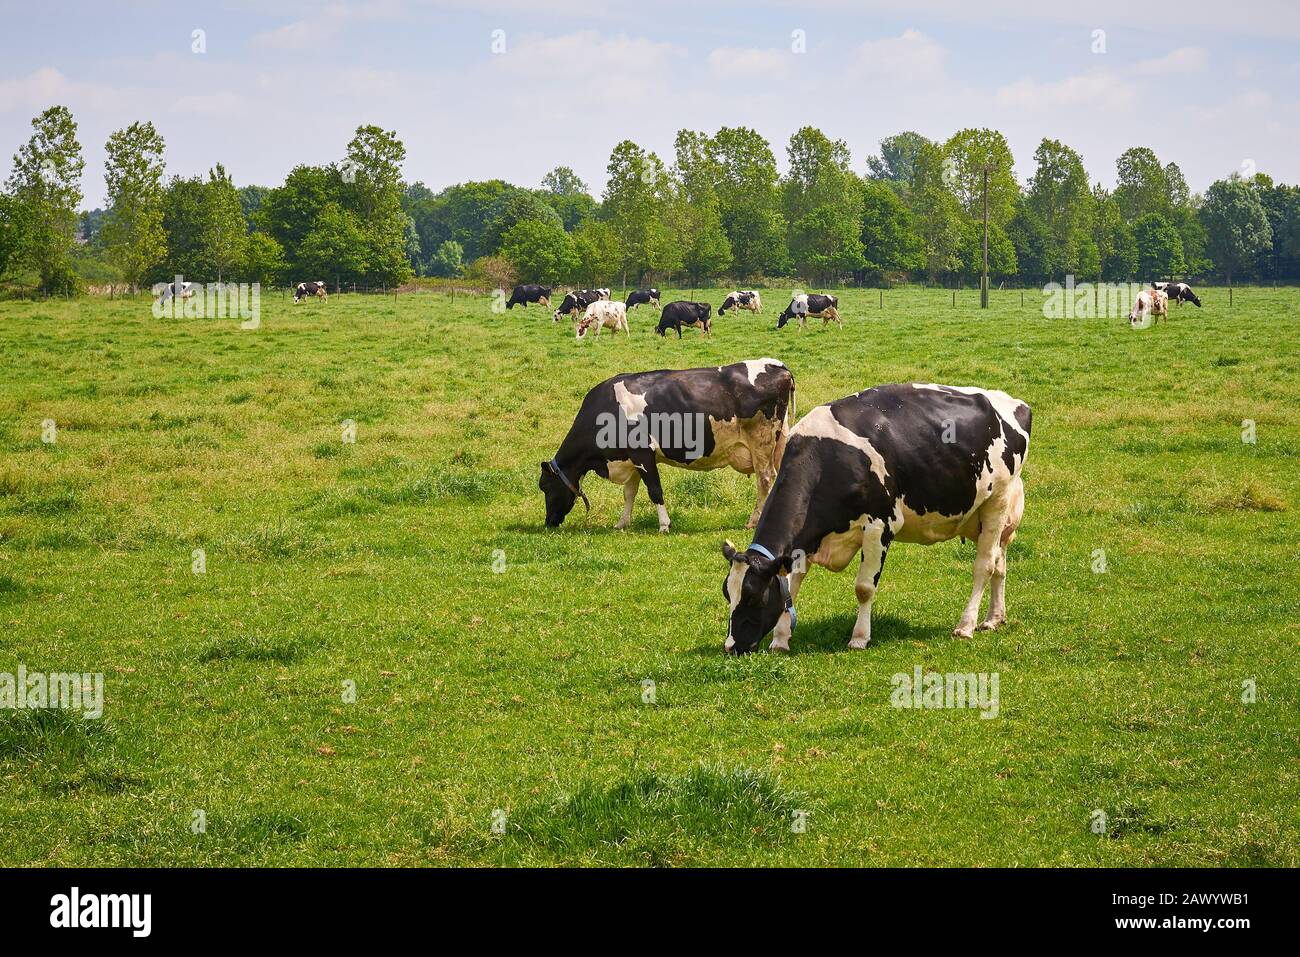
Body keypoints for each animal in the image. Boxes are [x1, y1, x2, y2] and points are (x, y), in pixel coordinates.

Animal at [540, 359, 796, 533]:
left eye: (545, 487)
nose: (549, 522)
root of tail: (777, 365)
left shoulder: (643, 453)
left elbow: (655, 490)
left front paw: (664, 524)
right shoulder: (631, 458)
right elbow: (629, 493)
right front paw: (622, 523)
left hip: (761, 442)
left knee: (765, 479)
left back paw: (753, 521)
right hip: (779, 440)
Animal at [722, 383, 1031, 654]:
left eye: (753, 596)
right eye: (728, 594)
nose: (731, 647)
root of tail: (1013, 402)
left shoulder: (879, 524)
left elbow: (864, 587)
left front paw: (859, 638)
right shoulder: (803, 541)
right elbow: (792, 586)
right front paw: (781, 640)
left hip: (997, 502)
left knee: (984, 566)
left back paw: (966, 625)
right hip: (985, 518)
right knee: (1000, 563)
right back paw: (993, 619)